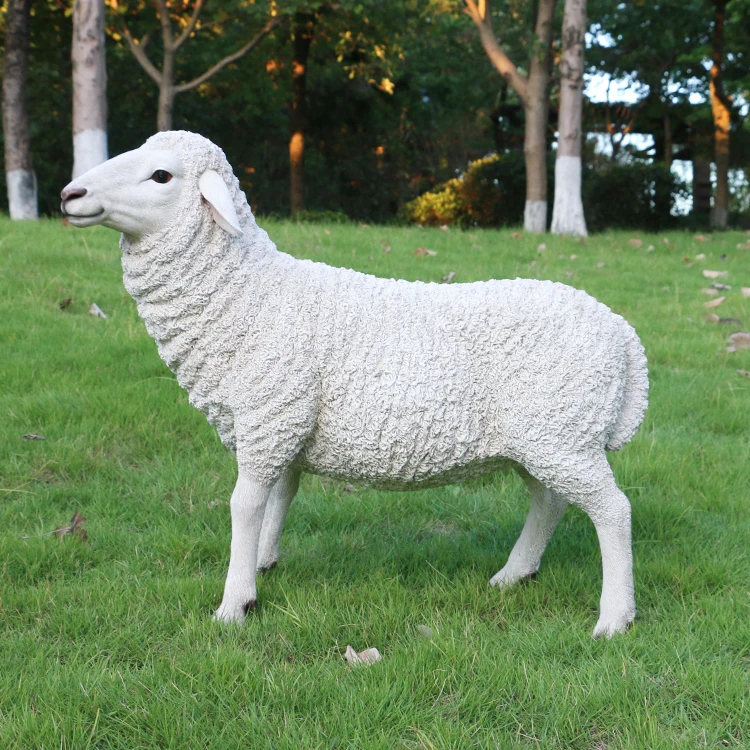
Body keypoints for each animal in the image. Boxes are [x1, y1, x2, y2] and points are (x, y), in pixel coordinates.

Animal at [61, 130, 649, 638]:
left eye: (161, 175)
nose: (70, 194)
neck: (249, 295)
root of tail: (623, 334)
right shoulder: (284, 427)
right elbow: (280, 498)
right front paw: (264, 564)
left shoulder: (268, 418)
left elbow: (245, 506)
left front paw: (234, 604)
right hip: (544, 436)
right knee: (549, 503)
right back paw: (514, 575)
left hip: (561, 433)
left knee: (613, 511)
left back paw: (614, 618)